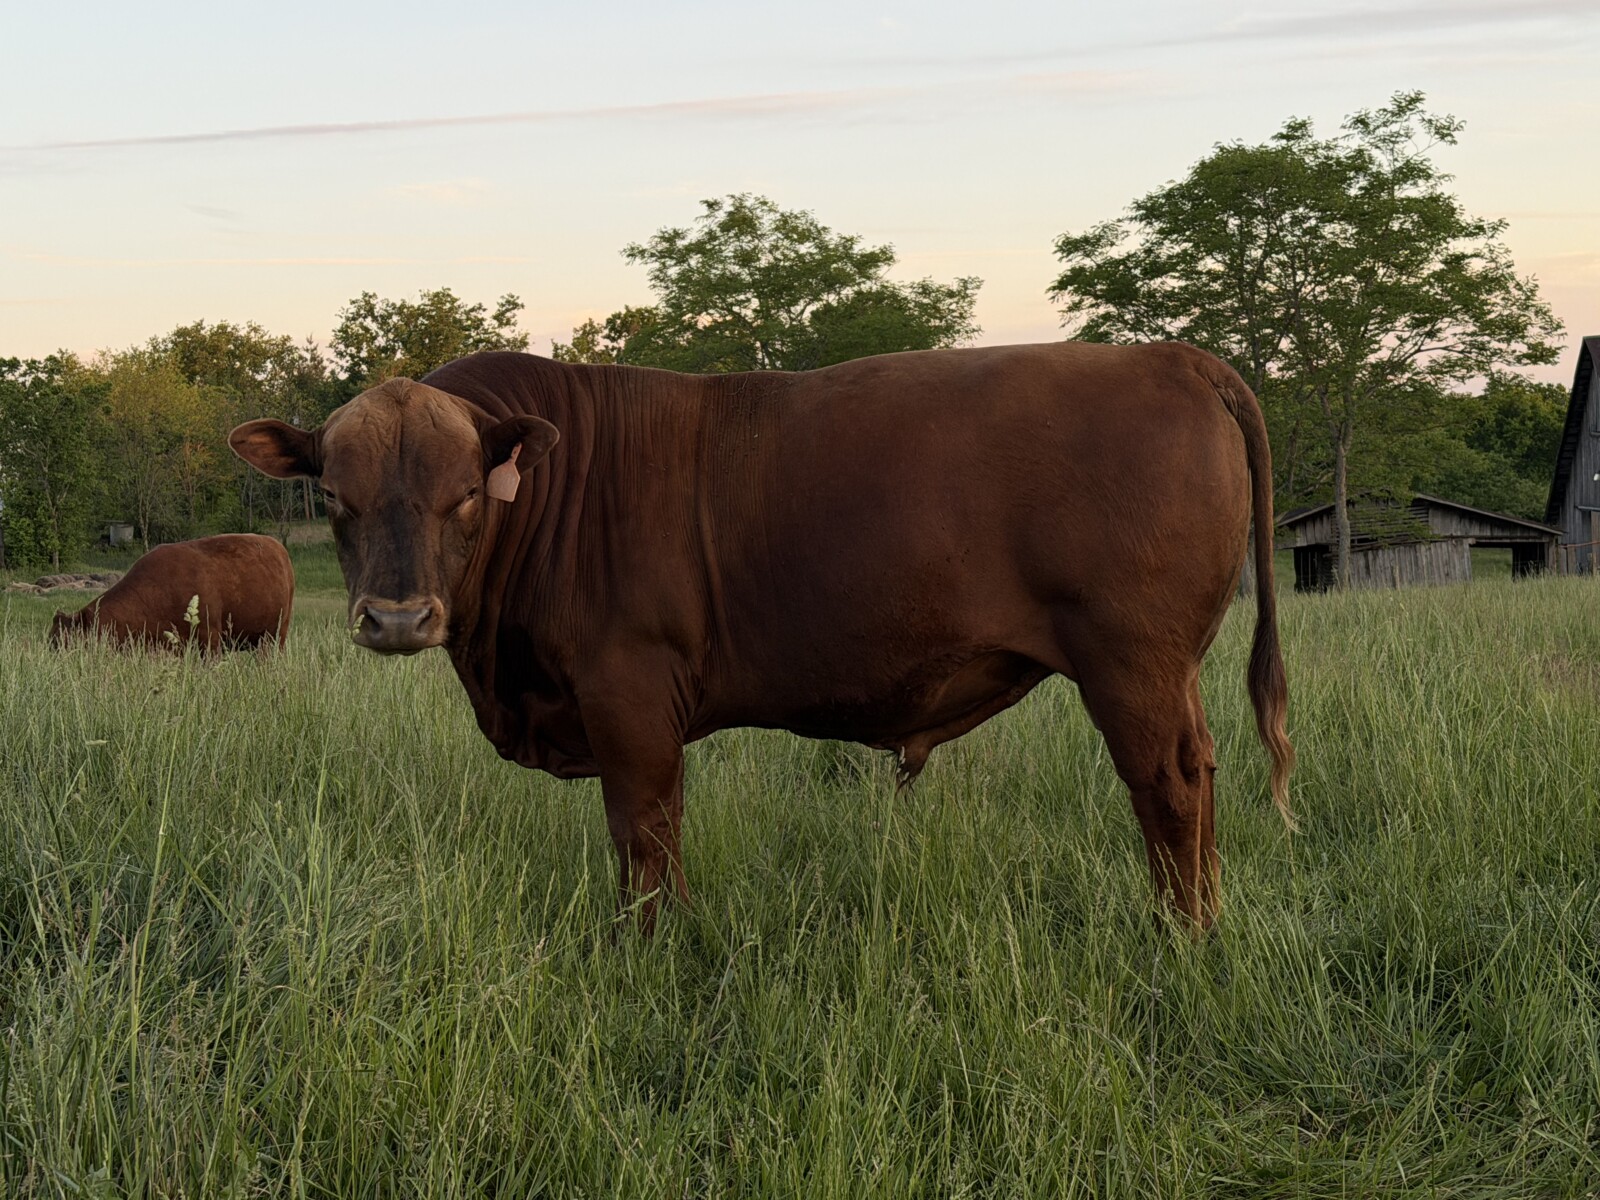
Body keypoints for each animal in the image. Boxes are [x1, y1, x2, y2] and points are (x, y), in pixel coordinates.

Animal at [230, 343, 1292, 931]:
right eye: (336, 497)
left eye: (462, 498)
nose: (398, 617)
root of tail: (1170, 354)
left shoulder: (630, 697)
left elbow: (646, 836)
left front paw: (652, 948)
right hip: (1161, 666)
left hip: (1132, 660)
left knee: (1169, 786)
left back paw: (1183, 935)